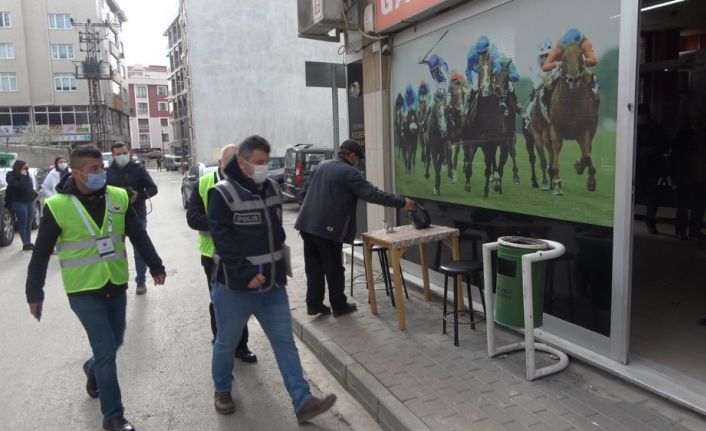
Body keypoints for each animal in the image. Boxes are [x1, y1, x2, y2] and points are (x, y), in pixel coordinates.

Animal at [544, 40, 592, 196]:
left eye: (580, 57)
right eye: (563, 58)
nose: (573, 79)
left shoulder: (585, 129)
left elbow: (587, 155)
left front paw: (578, 166)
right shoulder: (555, 128)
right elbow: (555, 152)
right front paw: (557, 184)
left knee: (587, 151)